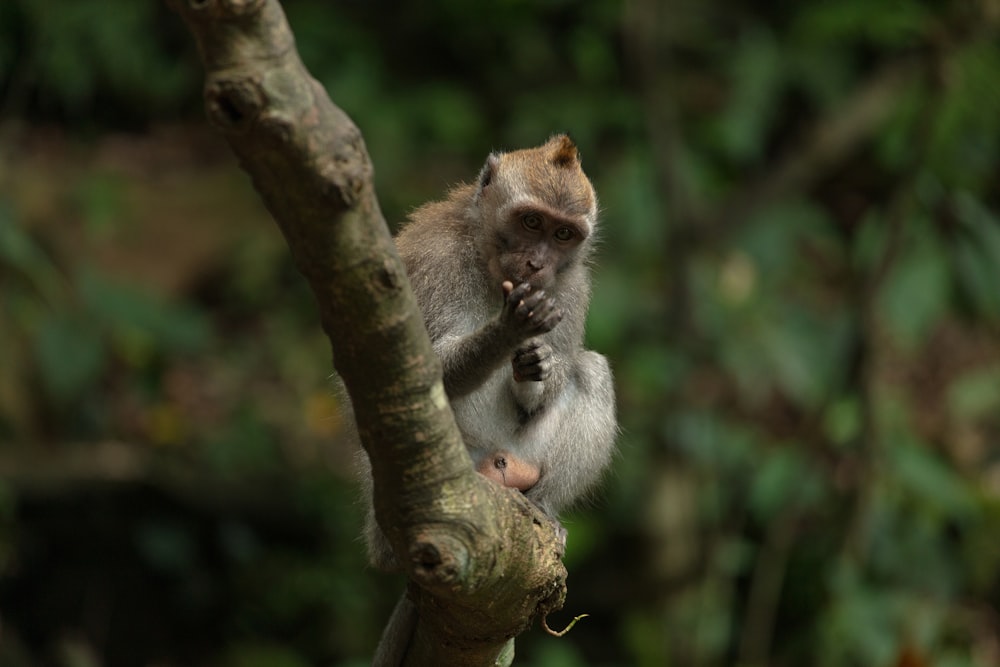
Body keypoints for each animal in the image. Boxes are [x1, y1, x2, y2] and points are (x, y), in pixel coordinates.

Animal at [352, 136, 616, 576]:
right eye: (531, 222)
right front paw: (508, 330)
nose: (537, 264)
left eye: (563, 233)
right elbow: (423, 369)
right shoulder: (436, 260)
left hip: (524, 455)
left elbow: (557, 371)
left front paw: (539, 367)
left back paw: (544, 507)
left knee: (592, 371)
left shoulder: (572, 284)